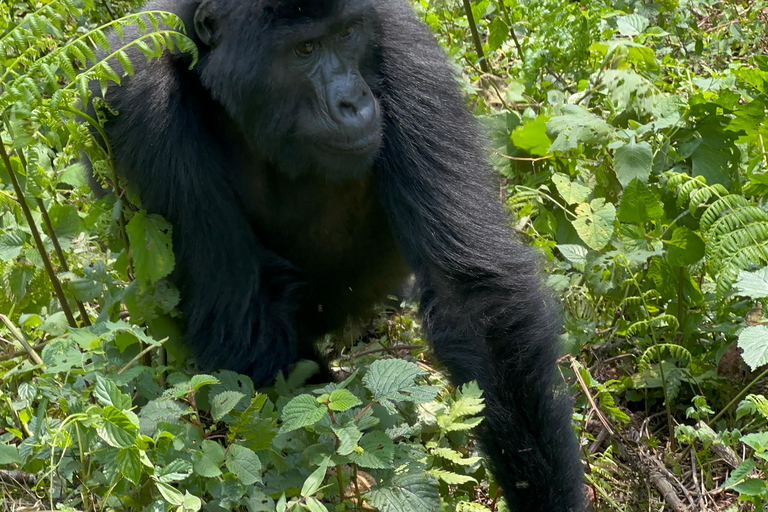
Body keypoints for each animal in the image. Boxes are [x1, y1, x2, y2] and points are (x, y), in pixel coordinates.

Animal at [94, 2, 588, 510]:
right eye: (305, 49)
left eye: (348, 33)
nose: (353, 100)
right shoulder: (142, 102)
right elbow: (243, 326)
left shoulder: (401, 39)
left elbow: (471, 297)